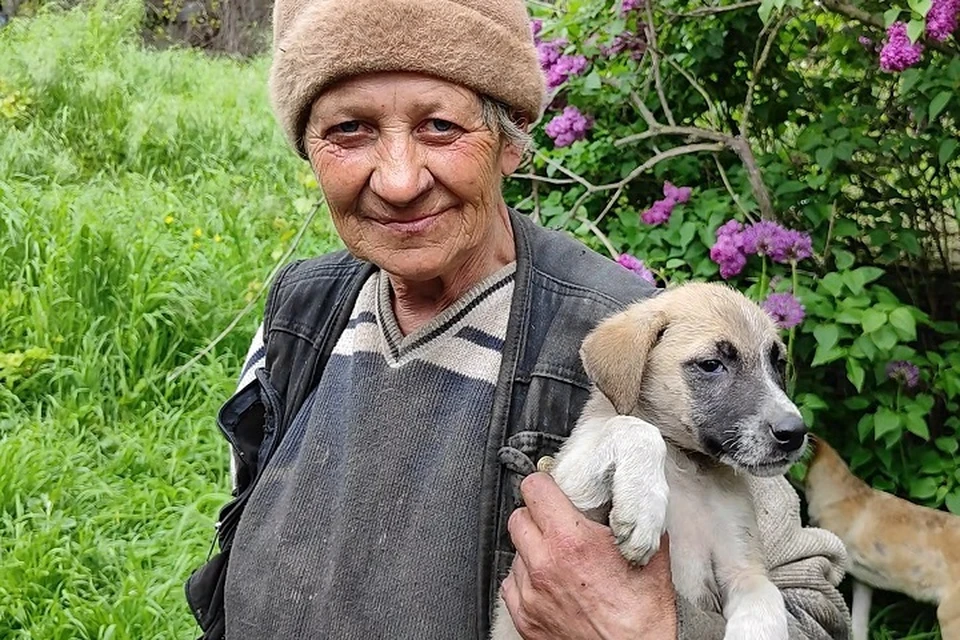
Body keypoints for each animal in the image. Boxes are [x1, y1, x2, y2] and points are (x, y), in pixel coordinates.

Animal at [492, 282, 808, 636]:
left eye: (777, 363)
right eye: (711, 364)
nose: (795, 432)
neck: (688, 466)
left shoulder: (740, 565)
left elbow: (766, 595)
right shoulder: (565, 493)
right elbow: (636, 428)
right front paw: (642, 508)